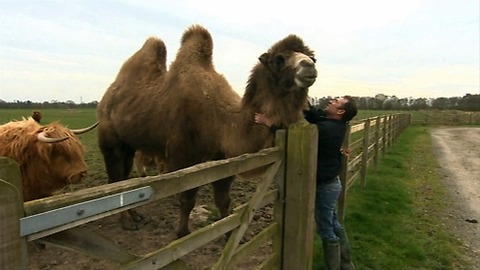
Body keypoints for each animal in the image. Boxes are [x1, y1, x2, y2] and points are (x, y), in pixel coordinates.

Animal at [95, 24, 316, 237]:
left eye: (313, 57)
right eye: (279, 59)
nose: (310, 66)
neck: (222, 123)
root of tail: (106, 99)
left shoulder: (224, 160)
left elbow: (223, 200)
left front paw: (229, 235)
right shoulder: (185, 159)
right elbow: (187, 200)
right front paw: (182, 234)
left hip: (129, 145)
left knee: (124, 178)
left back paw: (135, 215)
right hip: (111, 142)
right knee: (116, 180)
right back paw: (127, 222)